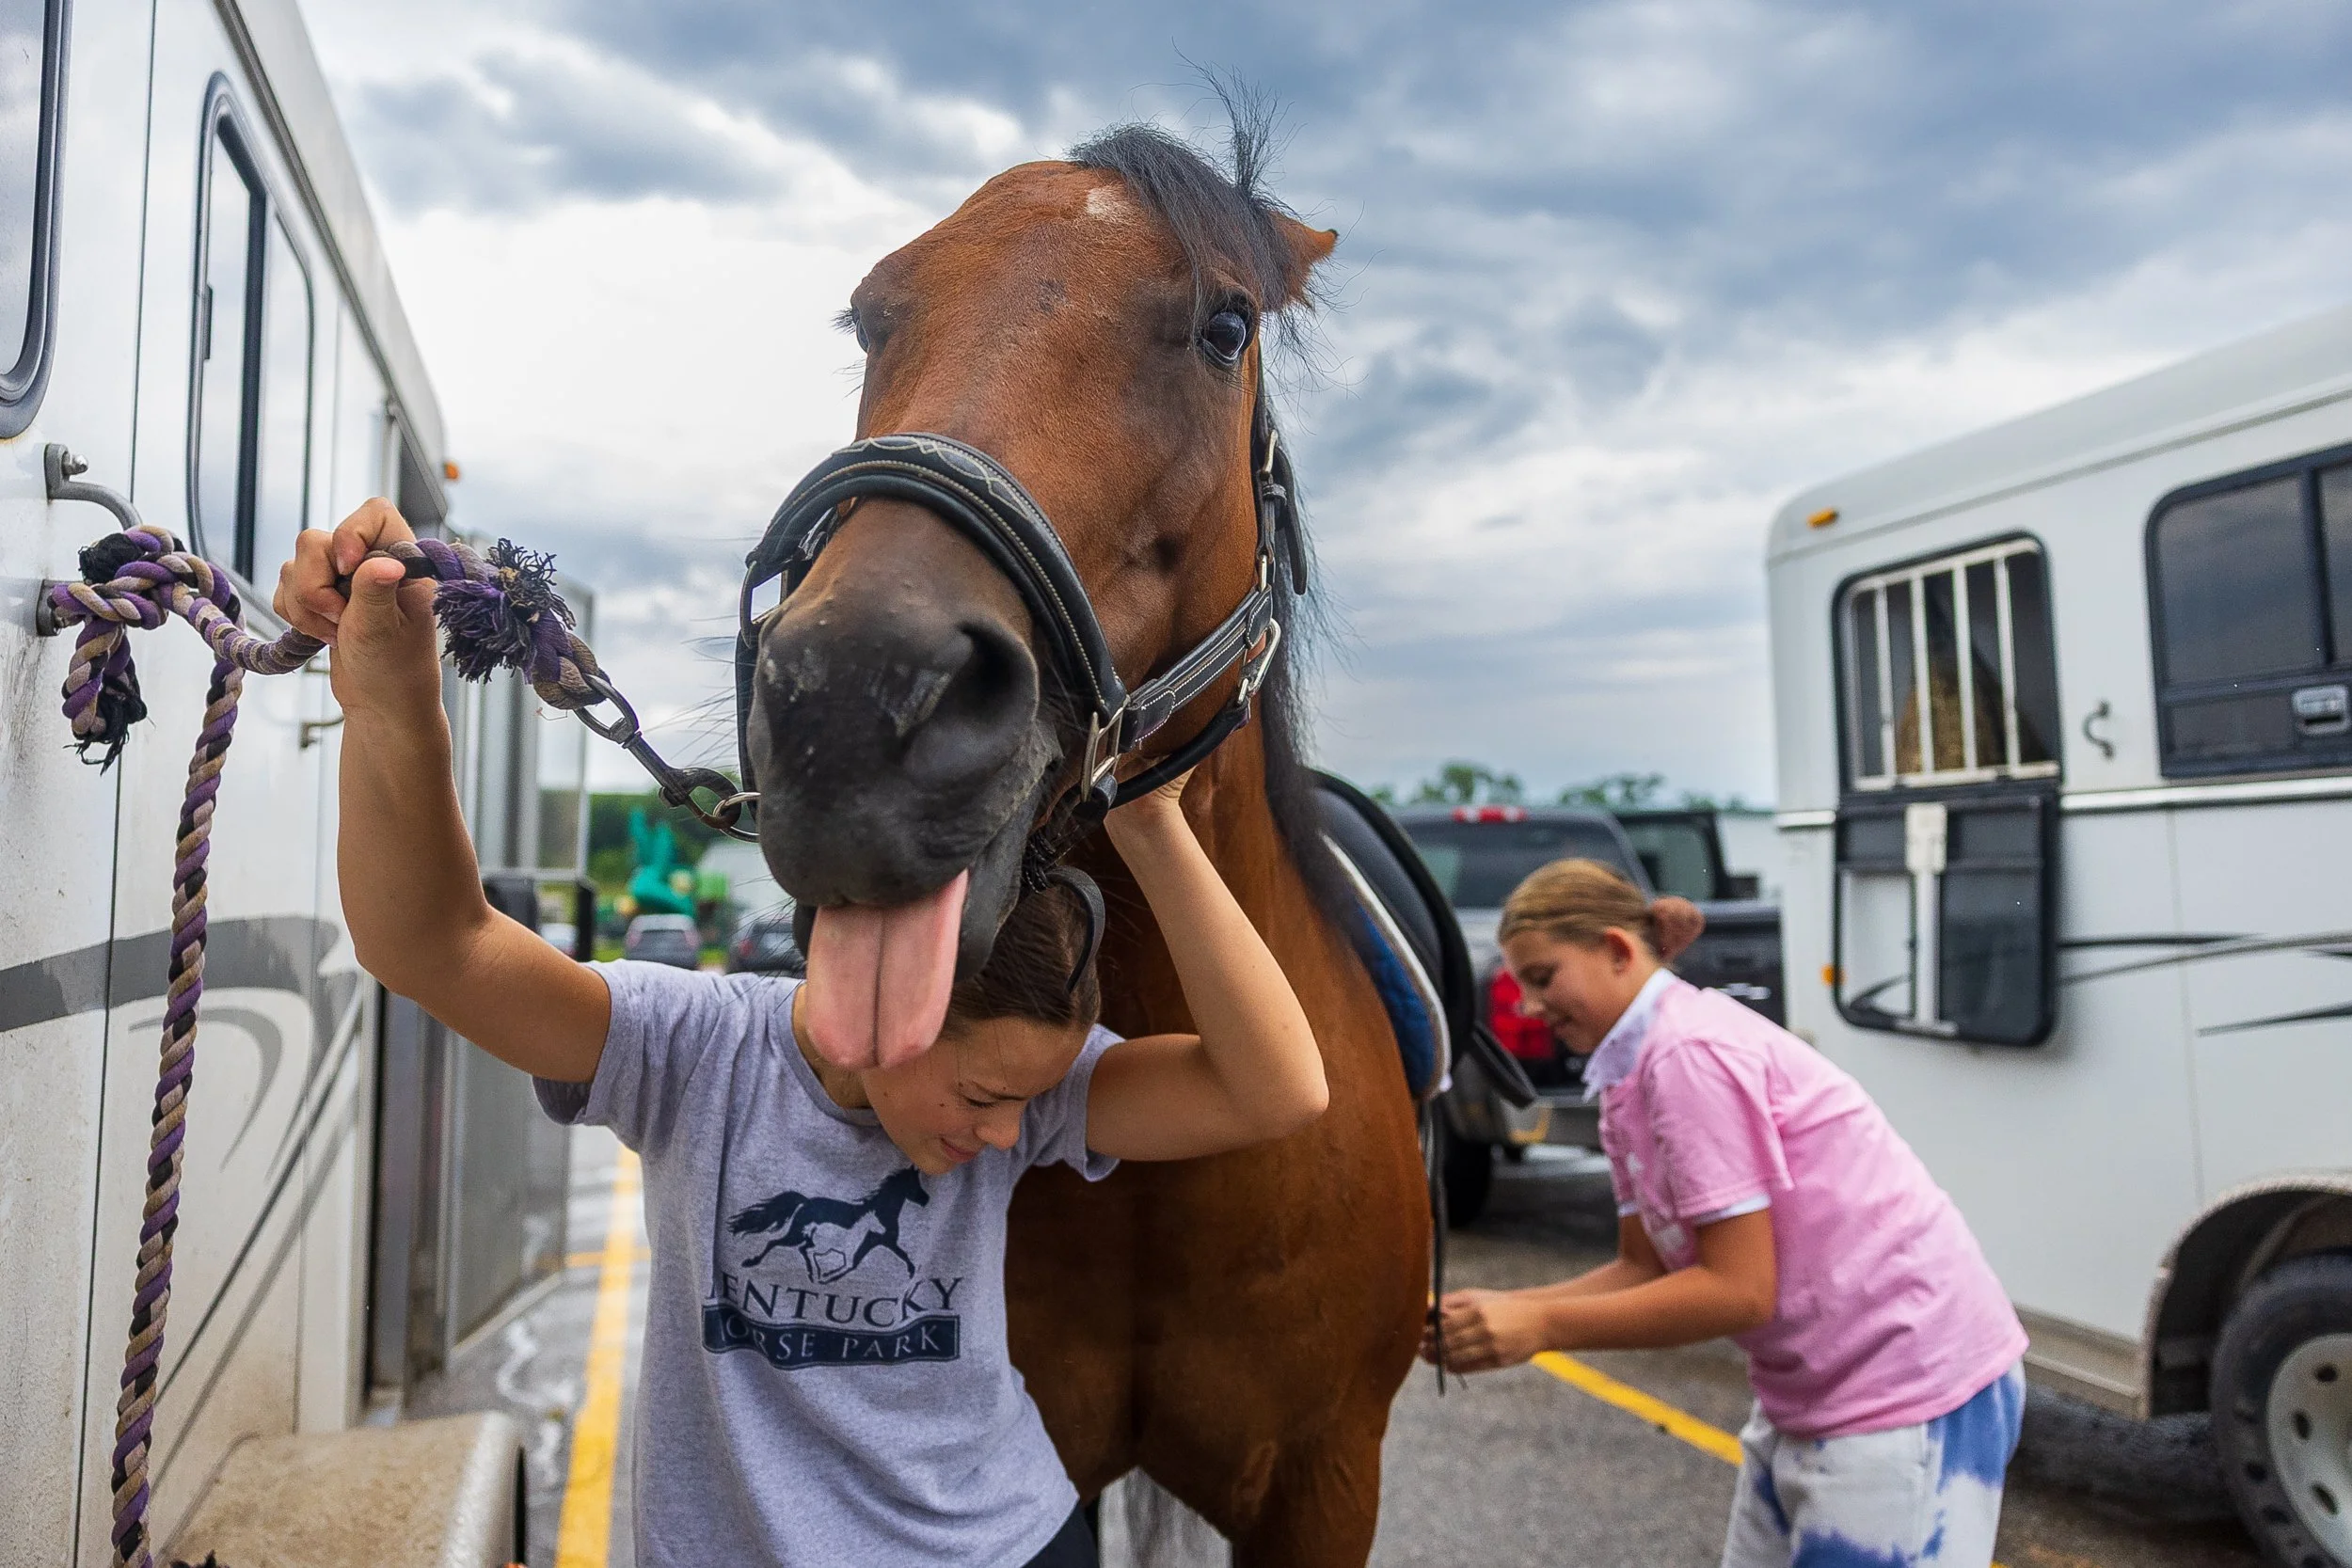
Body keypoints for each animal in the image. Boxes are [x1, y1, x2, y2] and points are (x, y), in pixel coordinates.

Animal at [729, 1166, 931, 1282]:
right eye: (914, 1183)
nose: (926, 1199)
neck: (880, 1213)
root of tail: (806, 1201)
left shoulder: (886, 1242)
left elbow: (902, 1254)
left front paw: (911, 1272)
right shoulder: (875, 1242)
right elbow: (853, 1264)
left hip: (806, 1238)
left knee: (800, 1249)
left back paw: (811, 1274)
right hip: (798, 1234)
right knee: (775, 1243)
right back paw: (752, 1262)